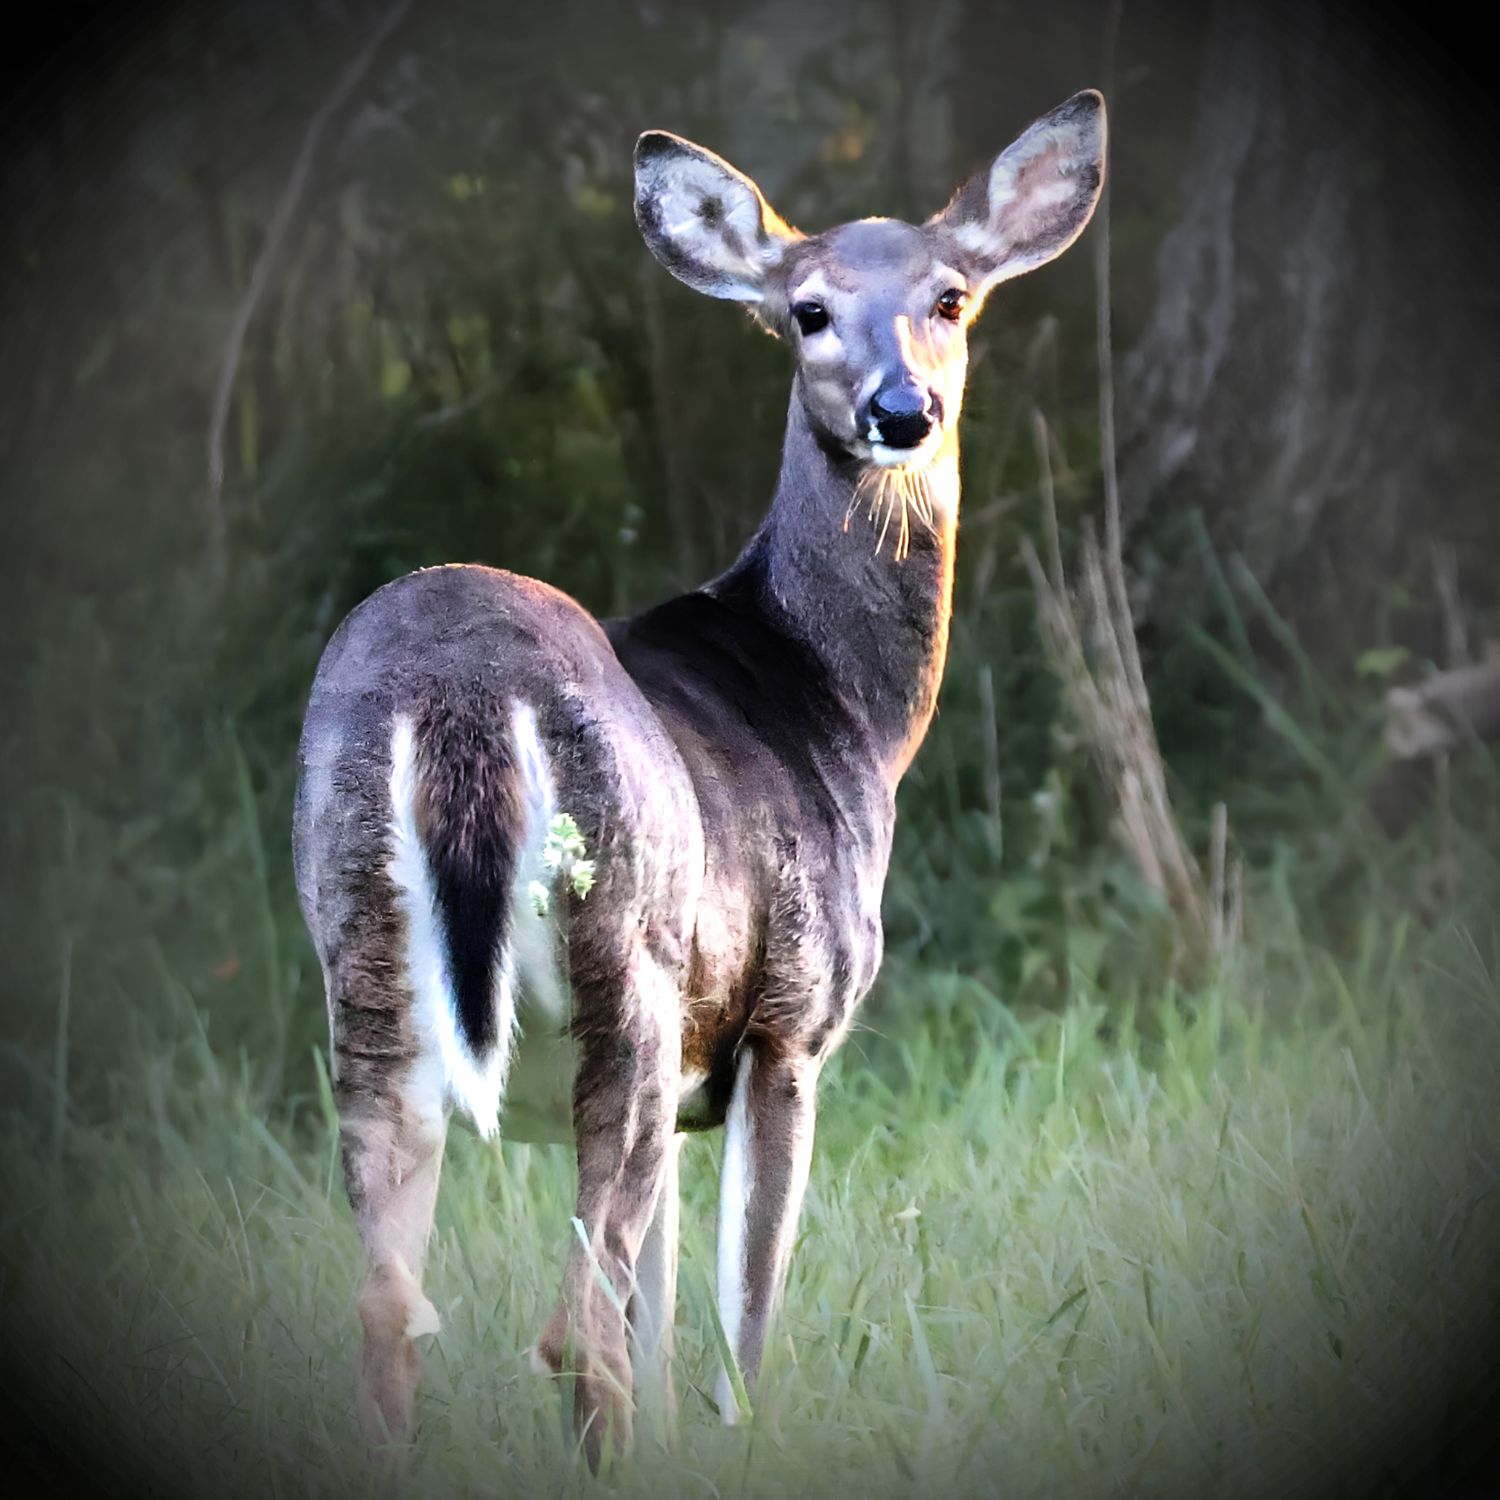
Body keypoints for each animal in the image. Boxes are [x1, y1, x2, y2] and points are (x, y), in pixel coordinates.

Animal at [292, 89, 1106, 1467]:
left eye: (950, 296)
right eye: (807, 310)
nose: (902, 410)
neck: (835, 704)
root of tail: (457, 692)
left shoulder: (683, 1098)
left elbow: (666, 1320)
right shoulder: (789, 1021)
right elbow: (739, 1325)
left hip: (370, 980)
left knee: (394, 1315)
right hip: (626, 962)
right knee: (573, 1332)